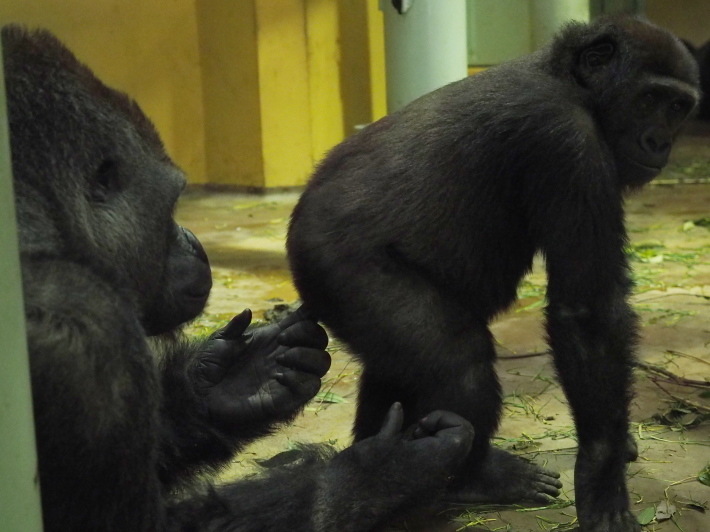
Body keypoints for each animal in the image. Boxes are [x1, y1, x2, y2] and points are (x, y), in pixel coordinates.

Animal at [288, 15, 700, 532]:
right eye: (648, 100)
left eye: (677, 107)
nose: (659, 141)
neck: (572, 84)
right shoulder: (568, 142)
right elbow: (586, 313)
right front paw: (602, 475)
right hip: (340, 268)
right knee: (457, 360)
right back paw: (469, 477)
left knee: (391, 368)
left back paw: (379, 472)